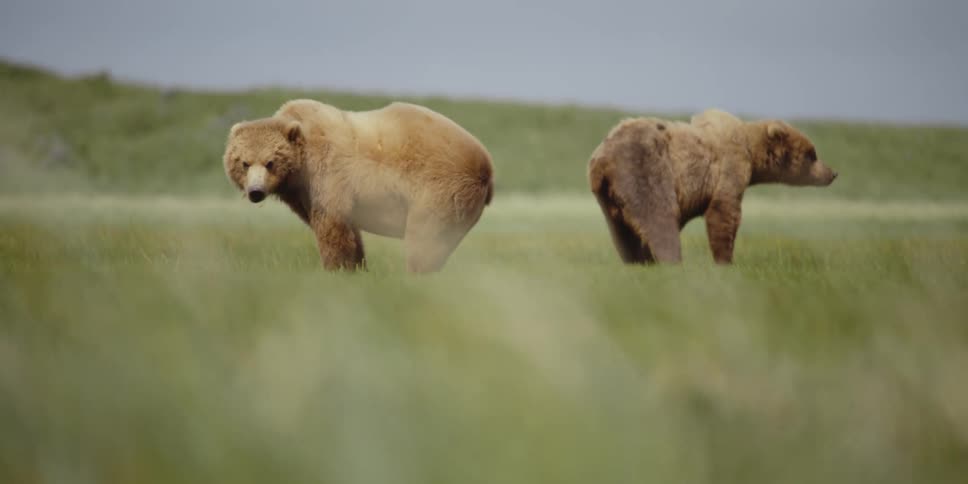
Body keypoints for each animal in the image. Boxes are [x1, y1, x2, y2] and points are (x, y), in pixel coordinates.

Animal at [223, 99, 494, 273]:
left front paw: (337, 268)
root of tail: (486, 164)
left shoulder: (327, 174)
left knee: (426, 237)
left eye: (270, 162)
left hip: (440, 187)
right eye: (244, 163)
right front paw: (358, 267)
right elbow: (350, 231)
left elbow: (333, 225)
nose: (255, 192)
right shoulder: (305, 191)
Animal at [587, 109, 838, 265]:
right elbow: (724, 212)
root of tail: (601, 158)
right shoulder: (730, 167)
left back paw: (638, 261)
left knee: (622, 232)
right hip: (646, 168)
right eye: (812, 154)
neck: (750, 150)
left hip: (609, 197)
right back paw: (671, 261)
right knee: (659, 217)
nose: (833, 173)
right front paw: (726, 261)